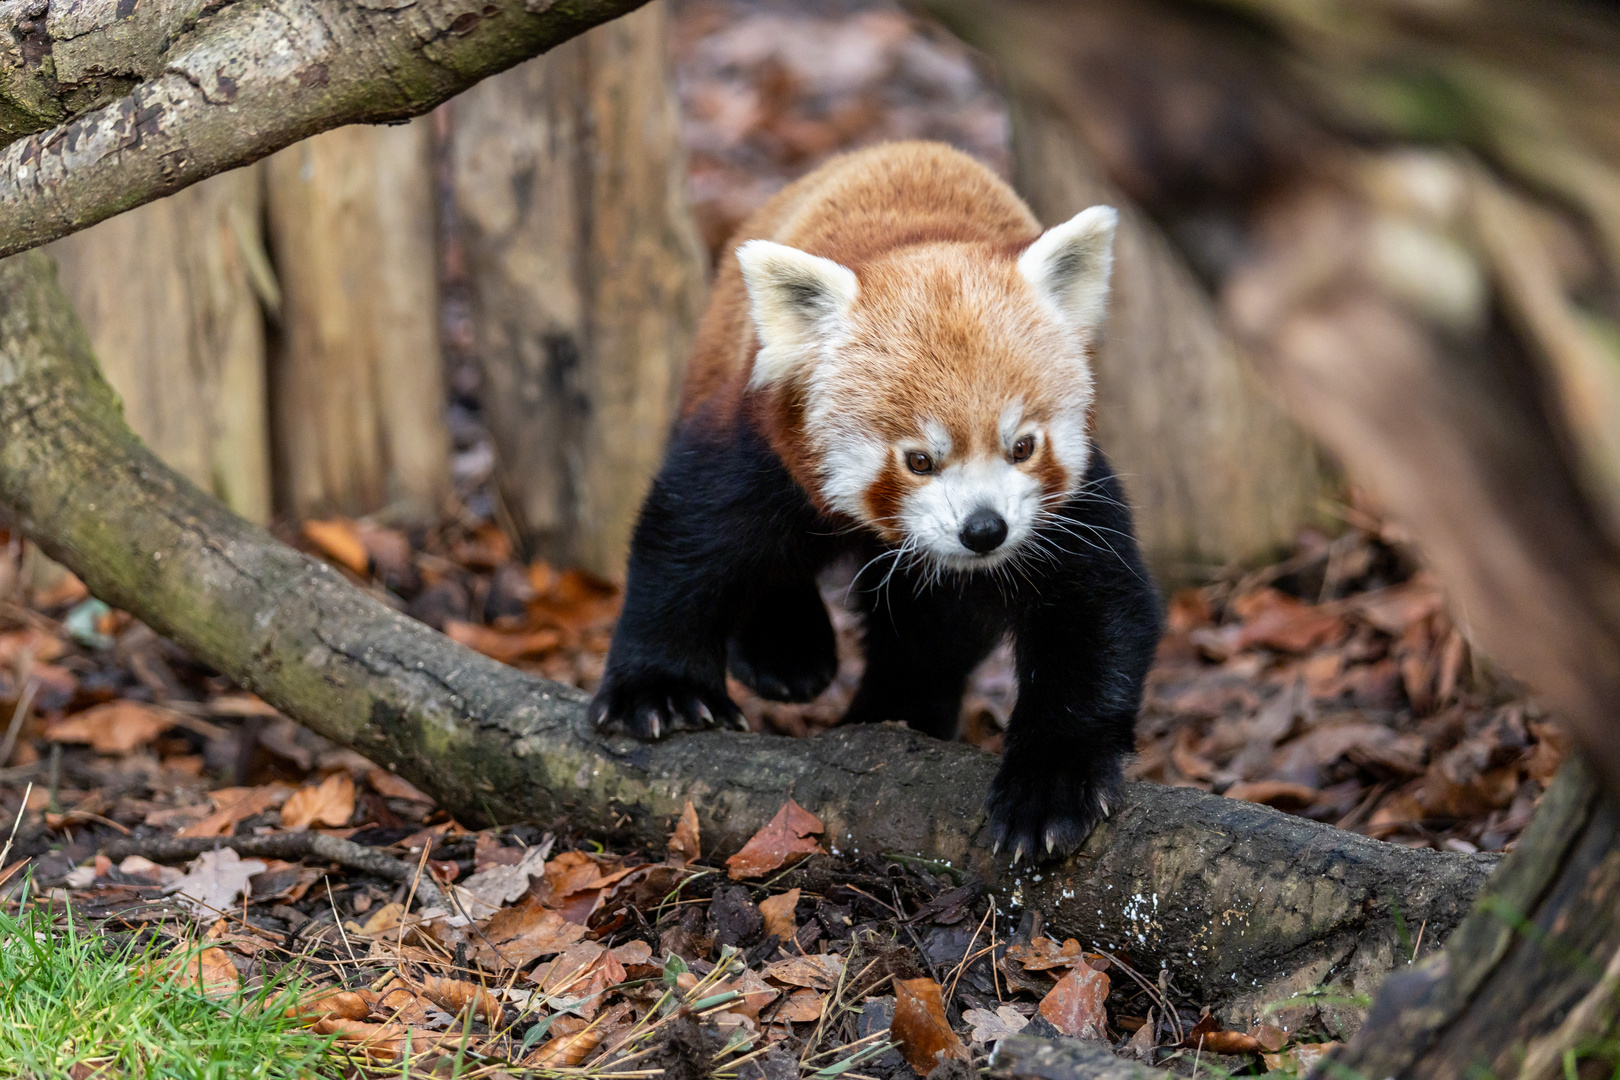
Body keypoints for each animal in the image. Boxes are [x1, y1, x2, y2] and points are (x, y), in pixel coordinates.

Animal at [589, 141, 1159, 861]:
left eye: (1023, 446)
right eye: (919, 459)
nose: (984, 531)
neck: (916, 240)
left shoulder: (1065, 507)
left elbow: (1098, 611)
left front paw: (1051, 785)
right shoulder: (758, 446)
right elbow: (688, 538)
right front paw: (659, 693)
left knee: (931, 627)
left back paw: (899, 707)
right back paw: (786, 652)